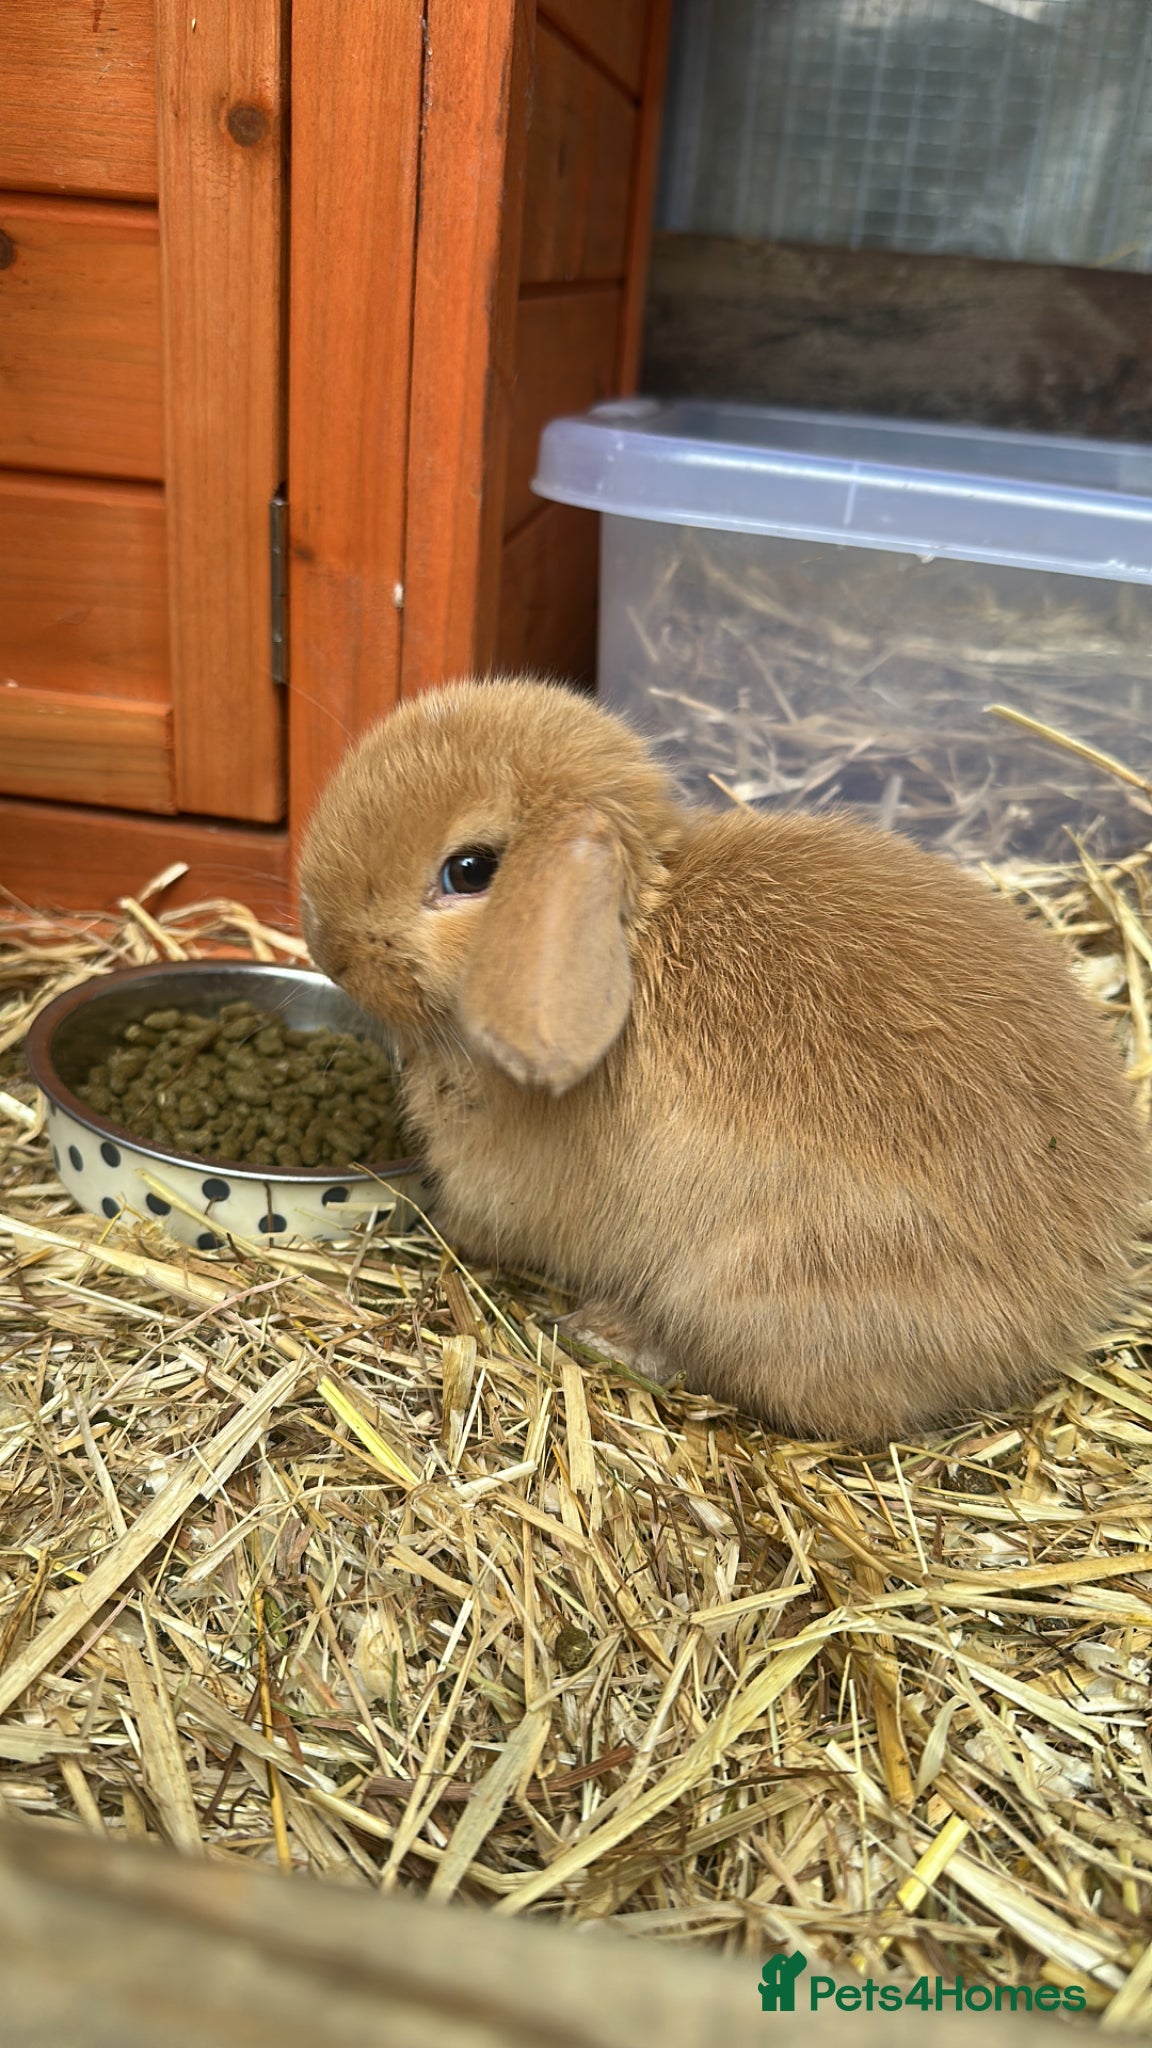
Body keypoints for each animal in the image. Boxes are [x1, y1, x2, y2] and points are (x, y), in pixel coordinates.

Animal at [298, 676, 1148, 1443]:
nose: (325, 943)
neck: (635, 937)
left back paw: (611, 1334)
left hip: (756, 1288)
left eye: (468, 871)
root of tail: (1068, 1300)